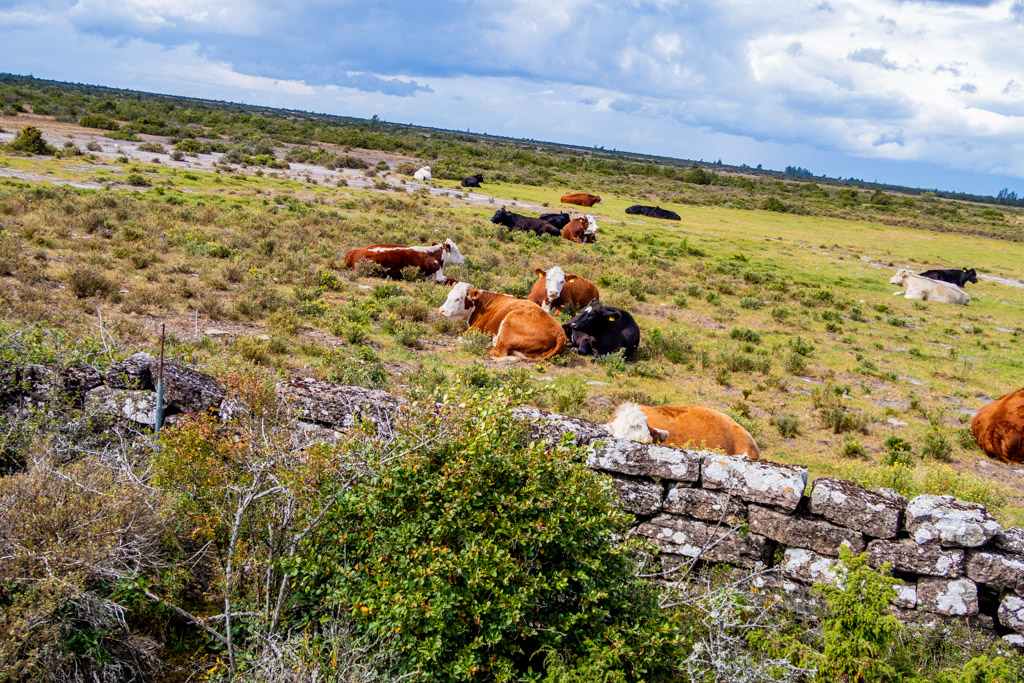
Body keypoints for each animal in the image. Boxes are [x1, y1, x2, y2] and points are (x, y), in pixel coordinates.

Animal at [438, 280, 569, 360]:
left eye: (459, 298)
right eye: (448, 295)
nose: (441, 310)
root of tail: (560, 332)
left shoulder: (473, 330)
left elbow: (460, 338)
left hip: (509, 322)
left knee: (499, 351)